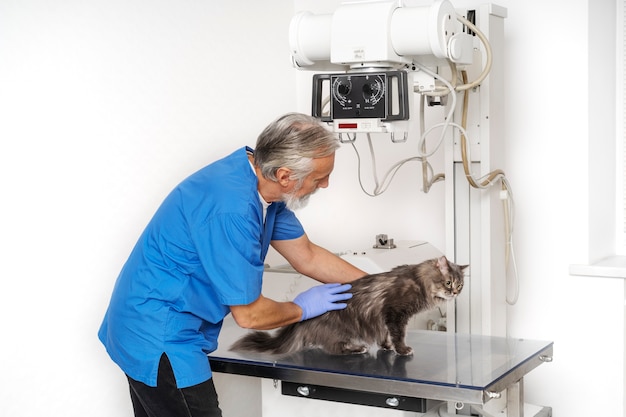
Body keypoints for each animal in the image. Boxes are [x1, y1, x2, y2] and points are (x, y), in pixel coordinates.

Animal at [229, 255, 464, 356]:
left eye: (460, 285)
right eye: (448, 282)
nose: (454, 292)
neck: (418, 280)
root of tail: (302, 321)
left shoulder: (384, 319)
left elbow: (384, 334)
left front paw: (386, 346)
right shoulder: (395, 313)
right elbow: (398, 335)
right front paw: (402, 349)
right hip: (341, 331)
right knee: (335, 348)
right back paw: (357, 348)